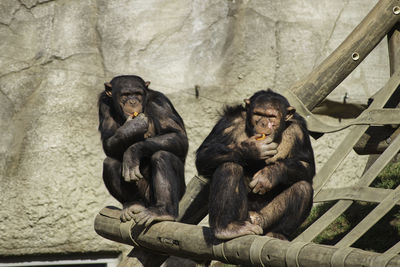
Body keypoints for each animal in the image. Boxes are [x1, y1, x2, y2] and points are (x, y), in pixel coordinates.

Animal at [99, 75, 188, 226]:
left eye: (138, 93)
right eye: (125, 95)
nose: (133, 101)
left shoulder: (160, 103)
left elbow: (177, 135)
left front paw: (133, 151)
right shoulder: (103, 105)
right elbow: (108, 142)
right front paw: (132, 127)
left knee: (163, 155)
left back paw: (164, 211)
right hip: (142, 198)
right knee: (110, 162)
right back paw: (132, 204)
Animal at [197, 89, 316, 241]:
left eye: (271, 116)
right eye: (258, 114)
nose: (264, 123)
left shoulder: (299, 129)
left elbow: (306, 164)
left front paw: (270, 175)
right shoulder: (229, 122)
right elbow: (204, 154)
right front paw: (252, 149)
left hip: (264, 221)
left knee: (303, 187)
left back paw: (277, 234)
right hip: (244, 217)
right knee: (229, 167)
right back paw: (226, 227)